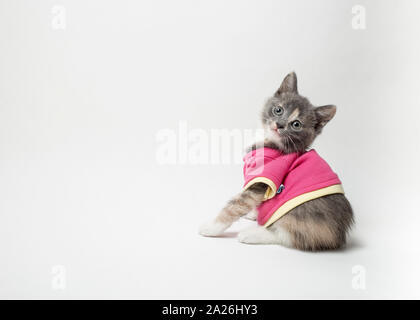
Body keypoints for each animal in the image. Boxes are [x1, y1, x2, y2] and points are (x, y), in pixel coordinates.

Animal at [200, 71, 354, 251]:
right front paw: (255, 213)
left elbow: (236, 205)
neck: (272, 143)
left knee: (290, 235)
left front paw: (211, 227)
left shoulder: (262, 179)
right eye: (278, 110)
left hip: (303, 214)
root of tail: (339, 235)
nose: (279, 124)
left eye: (296, 124)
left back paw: (252, 234)